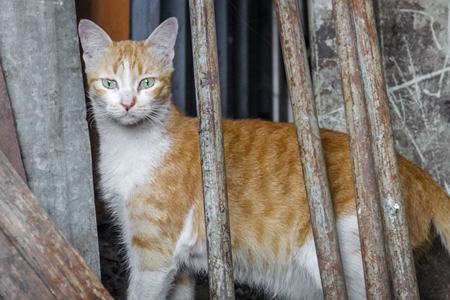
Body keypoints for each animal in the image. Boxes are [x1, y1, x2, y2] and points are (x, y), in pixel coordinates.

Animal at [77, 17, 450, 300]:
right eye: (109, 83)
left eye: (147, 83)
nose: (127, 103)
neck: (132, 146)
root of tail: (414, 171)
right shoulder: (178, 268)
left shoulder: (154, 255)